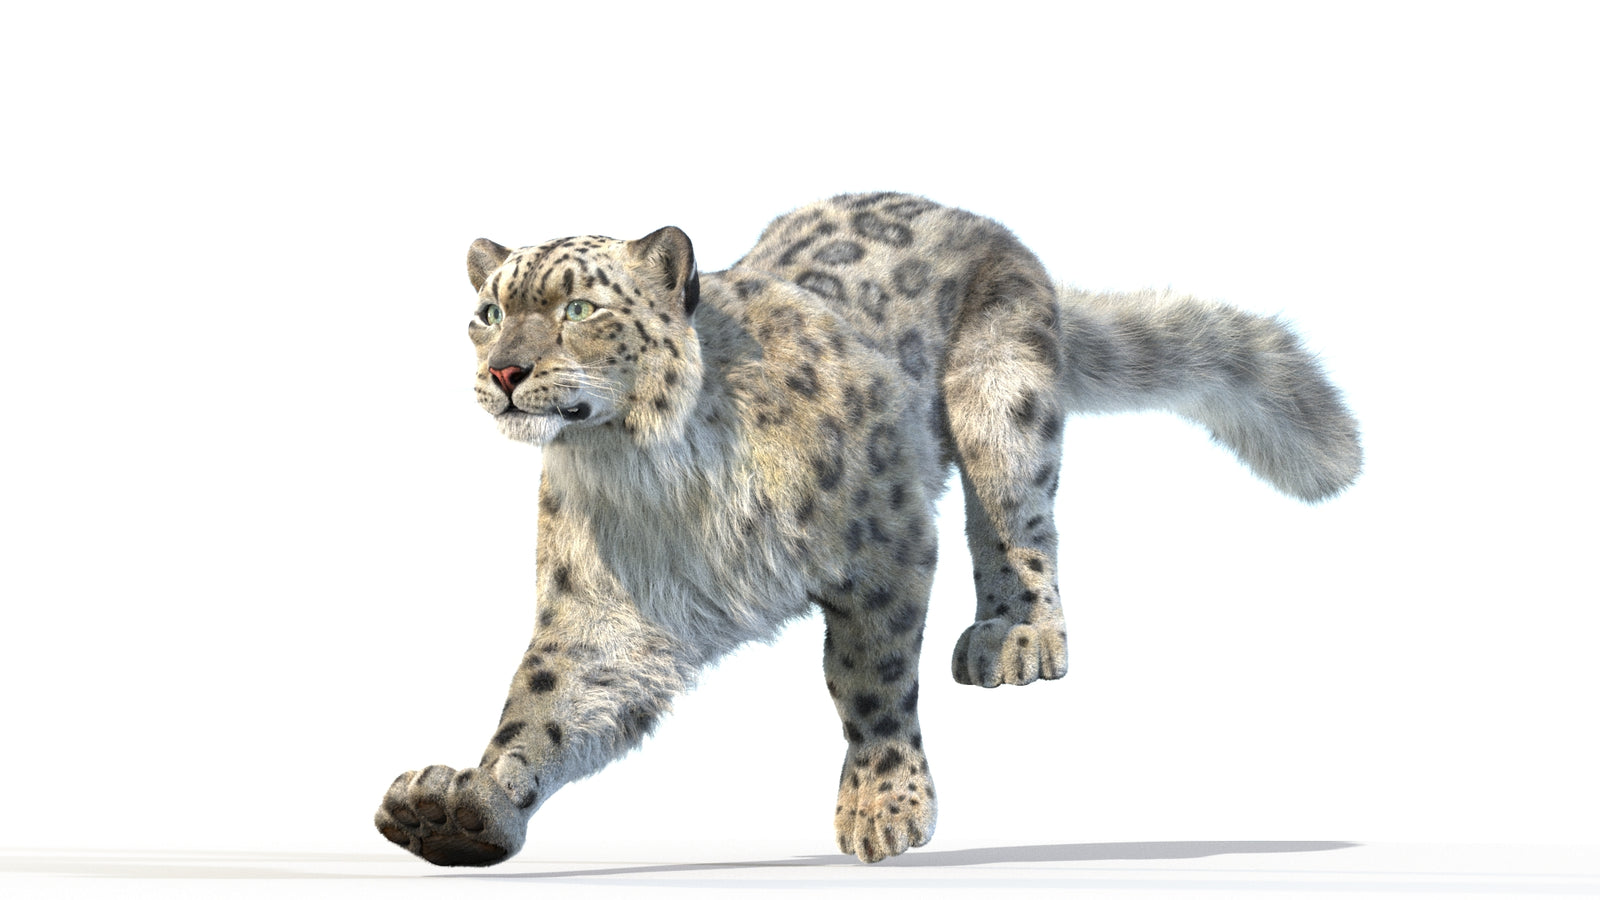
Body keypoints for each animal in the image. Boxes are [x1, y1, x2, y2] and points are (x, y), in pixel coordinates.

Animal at [373, 192, 1362, 866]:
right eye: (489, 312)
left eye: (579, 309)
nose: (503, 372)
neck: (649, 471)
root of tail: (984, 223)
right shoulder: (606, 612)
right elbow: (545, 703)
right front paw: (464, 805)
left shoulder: (884, 545)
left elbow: (869, 678)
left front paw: (884, 806)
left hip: (999, 401)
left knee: (1017, 518)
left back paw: (1015, 636)